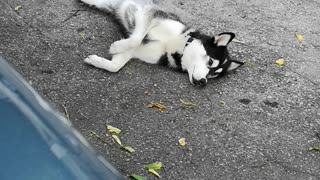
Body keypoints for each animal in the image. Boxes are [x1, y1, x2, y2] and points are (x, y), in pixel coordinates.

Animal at [81, 0, 244, 86]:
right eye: (210, 62)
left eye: (214, 75)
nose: (203, 82)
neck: (175, 48)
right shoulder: (149, 12)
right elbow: (135, 38)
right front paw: (116, 46)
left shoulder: (135, 52)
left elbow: (115, 66)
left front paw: (96, 60)